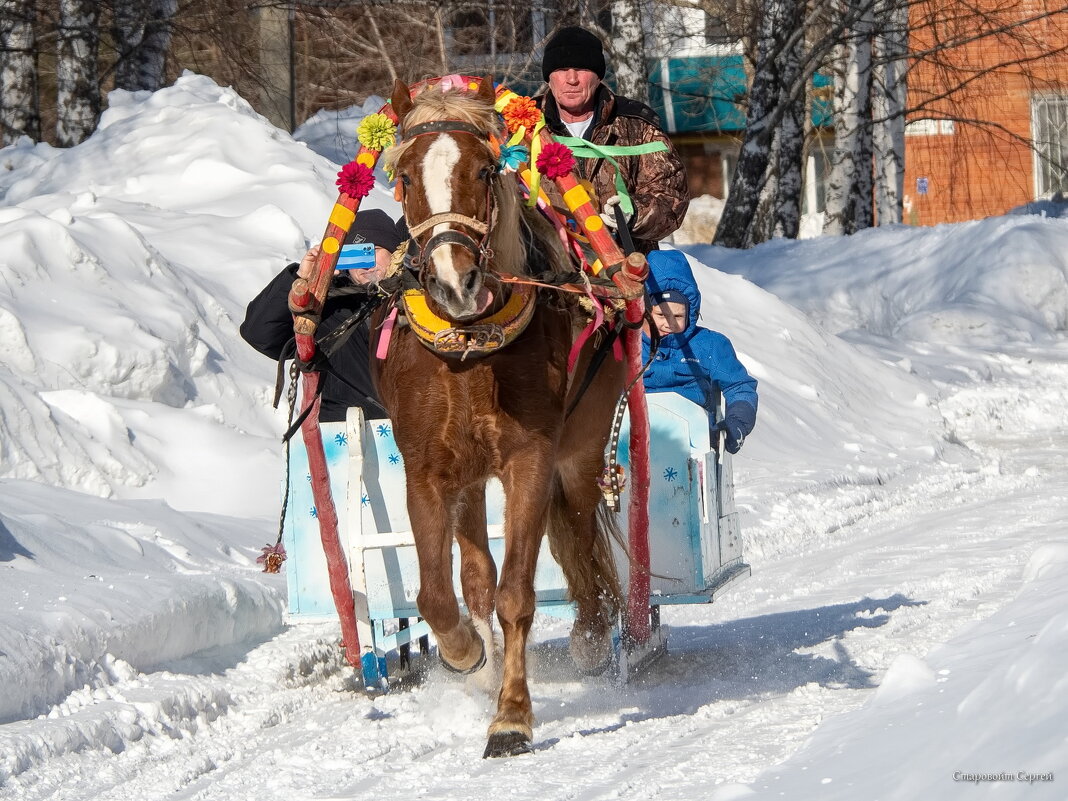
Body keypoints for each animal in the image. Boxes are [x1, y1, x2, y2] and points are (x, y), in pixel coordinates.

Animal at [371, 80, 623, 760]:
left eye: (485, 170)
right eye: (404, 177)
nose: (454, 283)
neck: (470, 351)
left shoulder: (531, 462)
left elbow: (516, 596)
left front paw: (511, 717)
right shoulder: (429, 473)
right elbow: (439, 595)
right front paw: (466, 657)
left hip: (582, 454)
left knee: (581, 541)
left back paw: (597, 633)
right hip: (470, 478)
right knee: (476, 574)